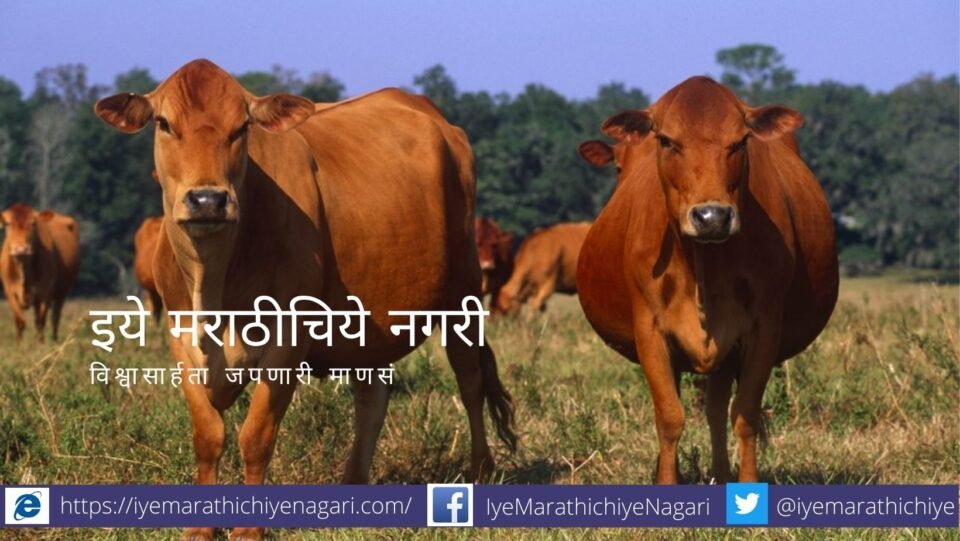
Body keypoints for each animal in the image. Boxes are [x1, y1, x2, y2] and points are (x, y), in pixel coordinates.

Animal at [0, 204, 80, 342]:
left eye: (33, 223)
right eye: (8, 224)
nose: (21, 249)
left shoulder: (44, 291)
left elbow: (40, 322)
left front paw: (40, 344)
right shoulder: (9, 291)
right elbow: (20, 321)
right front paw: (19, 344)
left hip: (62, 291)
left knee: (55, 317)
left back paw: (54, 339)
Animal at [95, 59, 516, 540]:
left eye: (241, 127)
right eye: (164, 123)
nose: (207, 199)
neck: (212, 280)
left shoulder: (288, 339)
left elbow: (255, 436)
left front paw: (248, 528)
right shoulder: (179, 338)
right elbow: (208, 435)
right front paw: (200, 527)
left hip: (463, 293)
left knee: (470, 382)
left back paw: (481, 469)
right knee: (372, 398)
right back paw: (353, 487)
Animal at [577, 76, 838, 484]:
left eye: (741, 141)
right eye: (667, 140)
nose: (712, 216)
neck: (702, 263)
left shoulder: (763, 330)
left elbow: (744, 416)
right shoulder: (650, 331)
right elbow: (669, 417)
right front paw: (666, 482)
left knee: (716, 408)